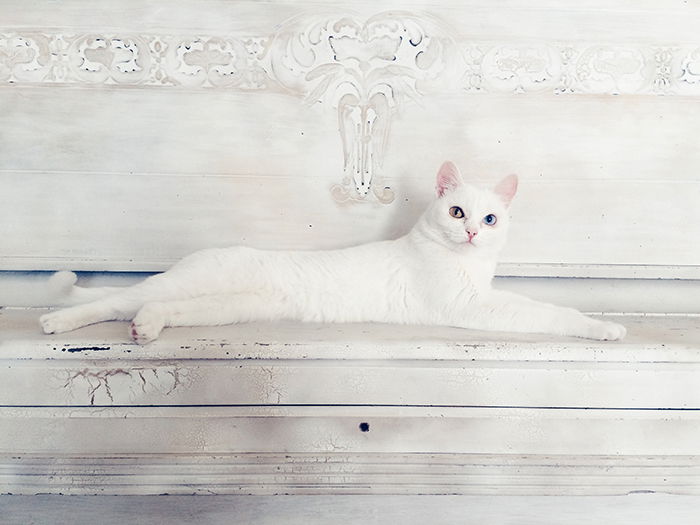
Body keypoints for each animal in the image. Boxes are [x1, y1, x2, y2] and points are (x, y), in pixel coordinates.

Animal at [41, 164, 628, 344]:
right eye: (458, 211)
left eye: (491, 220)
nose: (471, 235)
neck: (470, 266)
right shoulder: (474, 307)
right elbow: (549, 312)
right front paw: (604, 327)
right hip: (185, 283)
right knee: (111, 301)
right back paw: (55, 321)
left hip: (220, 307)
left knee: (149, 308)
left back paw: (147, 327)